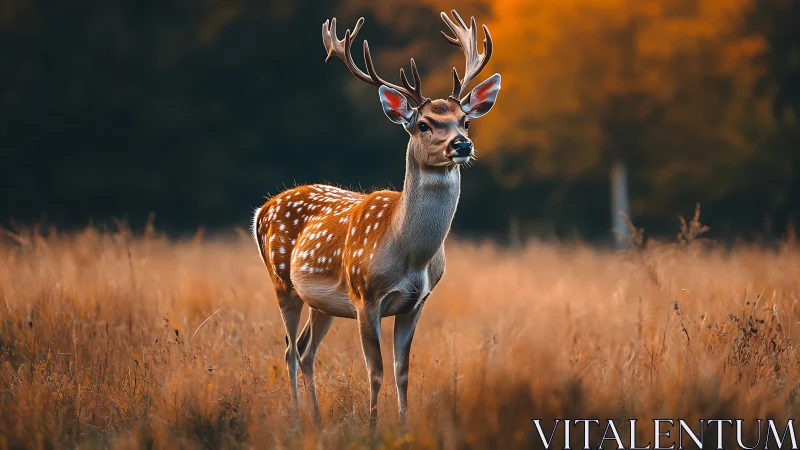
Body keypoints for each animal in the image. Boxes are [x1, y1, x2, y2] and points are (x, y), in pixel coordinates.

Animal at [252, 10, 501, 427]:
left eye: (465, 121)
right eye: (424, 124)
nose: (461, 145)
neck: (410, 253)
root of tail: (262, 209)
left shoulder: (417, 302)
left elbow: (402, 370)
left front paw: (403, 425)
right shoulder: (365, 294)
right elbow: (376, 370)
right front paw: (372, 428)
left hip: (321, 303)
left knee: (304, 350)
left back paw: (316, 418)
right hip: (282, 281)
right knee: (288, 350)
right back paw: (299, 417)